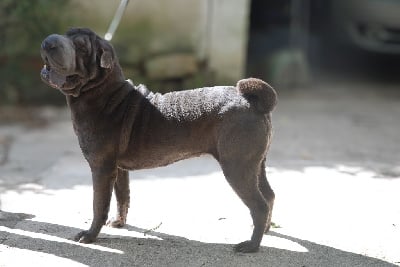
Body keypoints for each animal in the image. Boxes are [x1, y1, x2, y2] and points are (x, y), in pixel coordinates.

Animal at [40, 27, 278, 253]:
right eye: (66, 34)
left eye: (80, 46)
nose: (49, 41)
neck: (105, 95)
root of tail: (250, 100)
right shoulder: (118, 168)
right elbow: (122, 196)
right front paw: (119, 223)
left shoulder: (101, 168)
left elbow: (99, 205)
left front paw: (90, 235)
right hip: (254, 164)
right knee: (269, 195)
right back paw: (265, 230)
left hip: (236, 166)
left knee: (259, 205)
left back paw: (251, 245)